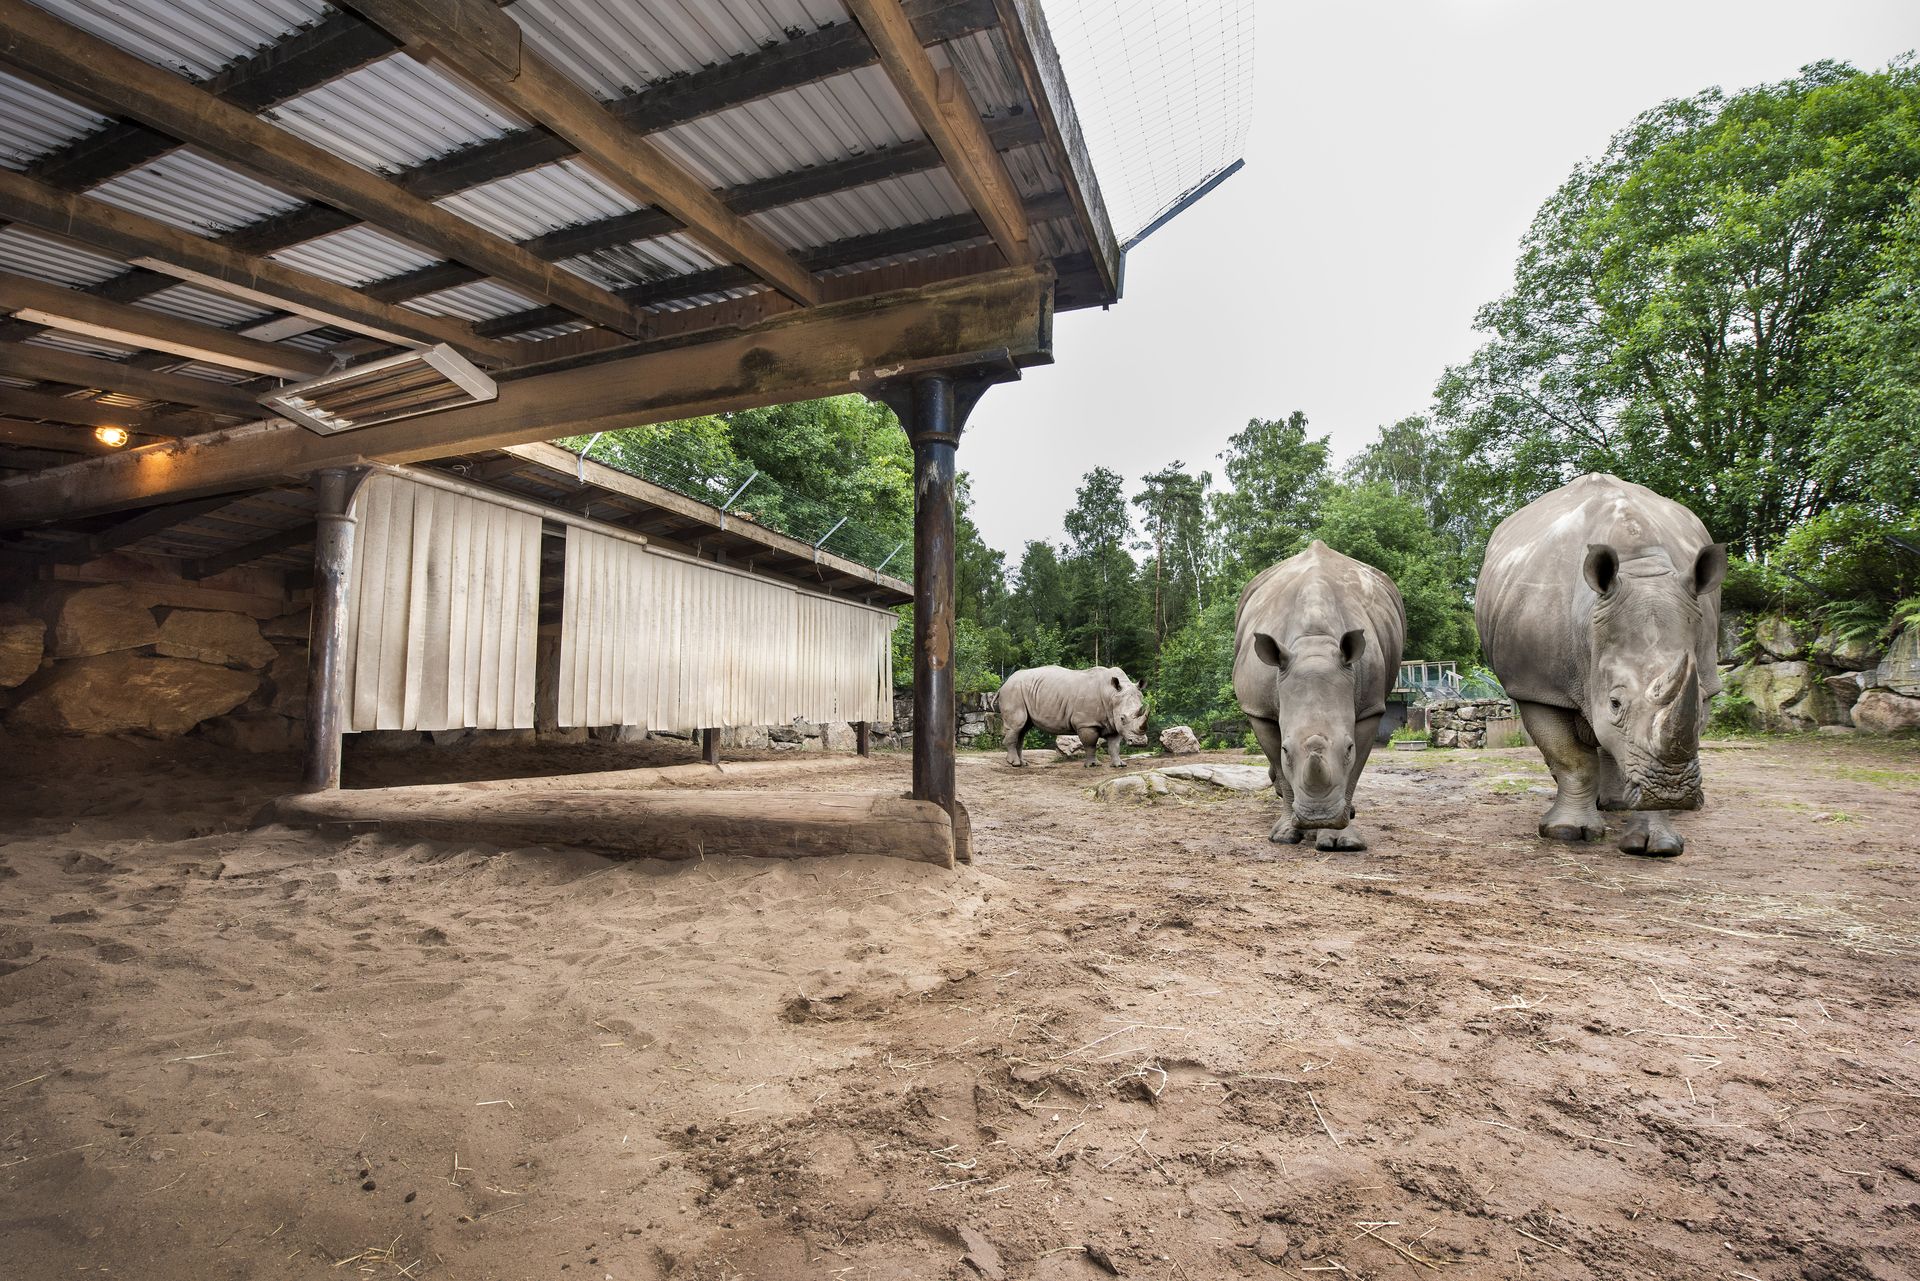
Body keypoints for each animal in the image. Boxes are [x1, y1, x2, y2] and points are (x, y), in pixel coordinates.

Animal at [1000, 665, 1148, 768]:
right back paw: (1015, 764)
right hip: (1013, 692)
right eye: (1123, 718)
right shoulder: (1086, 723)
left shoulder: (1112, 722)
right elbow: (1090, 744)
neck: (1111, 695)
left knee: (1023, 729)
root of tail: (1005, 683)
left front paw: (1119, 765)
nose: (1139, 742)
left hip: (1022, 691)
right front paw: (1093, 765)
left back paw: (1023, 763)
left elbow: (1114, 746)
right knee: (1017, 726)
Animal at [1233, 541, 1407, 851]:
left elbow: (1354, 771)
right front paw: (1285, 834)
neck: (1313, 643)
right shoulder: (1258, 709)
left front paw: (1341, 839)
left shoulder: (1370, 707)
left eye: (1348, 748)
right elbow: (1281, 768)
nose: (1318, 816)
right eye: (1286, 750)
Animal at [1476, 473, 1726, 856]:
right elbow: (1571, 758)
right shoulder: (1537, 686)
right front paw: (1566, 832)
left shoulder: (1705, 675)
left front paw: (1658, 844)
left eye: (1699, 700)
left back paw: (1616, 805)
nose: (1670, 791)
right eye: (1615, 703)